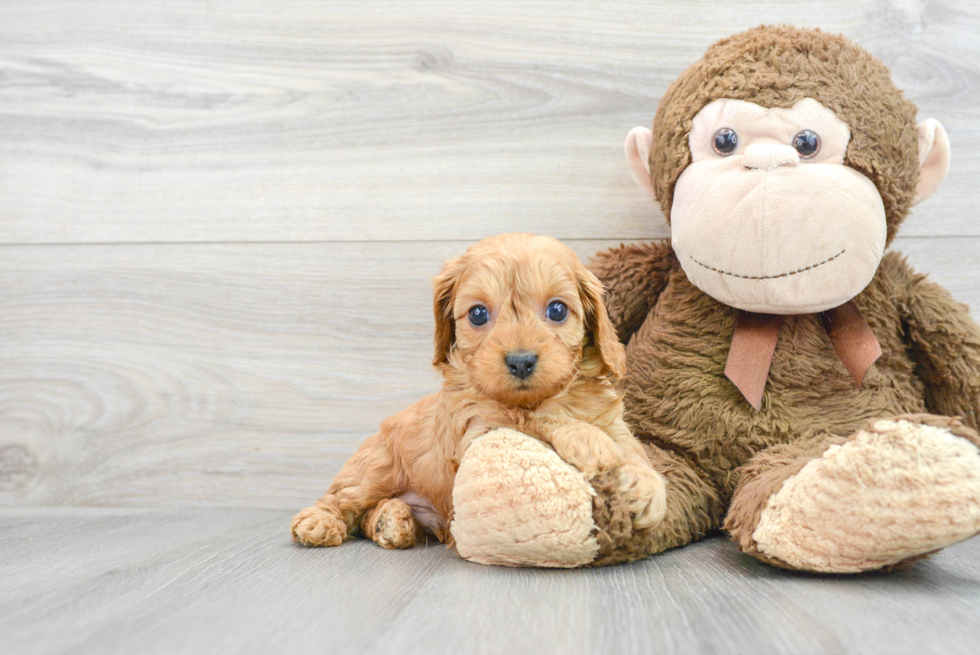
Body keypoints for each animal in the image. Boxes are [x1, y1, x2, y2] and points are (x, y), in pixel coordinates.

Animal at [290, 233, 668, 552]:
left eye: (558, 309)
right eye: (478, 314)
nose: (520, 361)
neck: (541, 398)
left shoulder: (611, 421)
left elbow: (631, 449)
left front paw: (646, 485)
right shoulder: (476, 436)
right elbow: (531, 421)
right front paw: (590, 442)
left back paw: (391, 522)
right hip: (375, 468)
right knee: (342, 499)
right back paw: (319, 523)